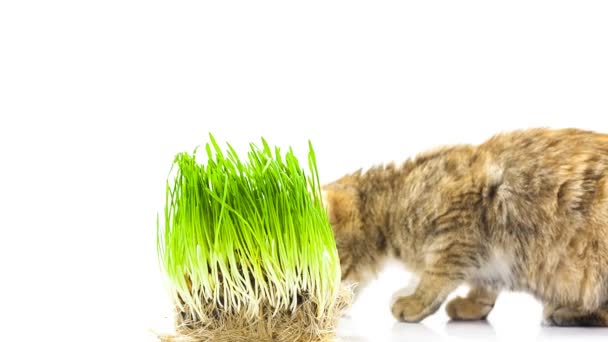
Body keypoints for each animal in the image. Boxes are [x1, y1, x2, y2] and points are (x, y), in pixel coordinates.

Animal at [326, 128, 608, 326]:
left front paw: (416, 302)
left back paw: (567, 312)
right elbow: (486, 284)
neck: (394, 198)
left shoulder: (458, 229)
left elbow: (436, 276)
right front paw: (474, 304)